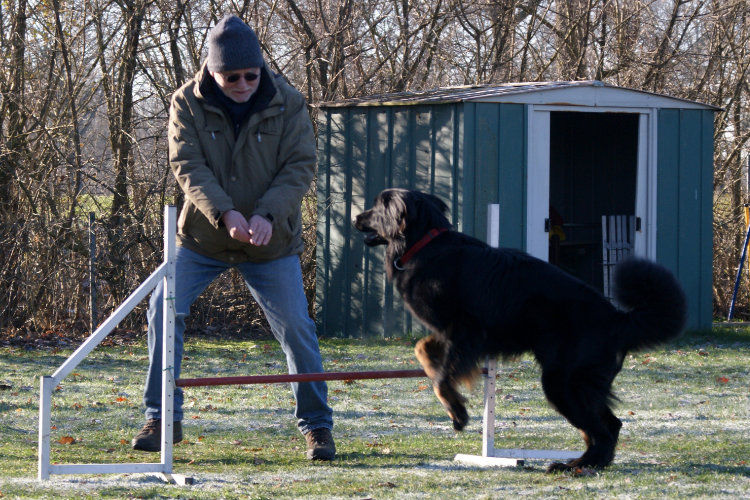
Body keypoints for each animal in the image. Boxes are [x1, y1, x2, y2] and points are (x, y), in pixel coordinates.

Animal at [356, 188, 692, 472]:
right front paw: (453, 399)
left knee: (603, 430)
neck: (426, 243)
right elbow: (423, 350)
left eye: (375, 207)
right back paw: (585, 462)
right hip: (581, 386)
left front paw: (457, 411)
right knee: (610, 425)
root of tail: (617, 318)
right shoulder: (450, 334)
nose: (355, 217)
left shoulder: (466, 332)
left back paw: (578, 467)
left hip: (561, 384)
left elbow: (441, 378)